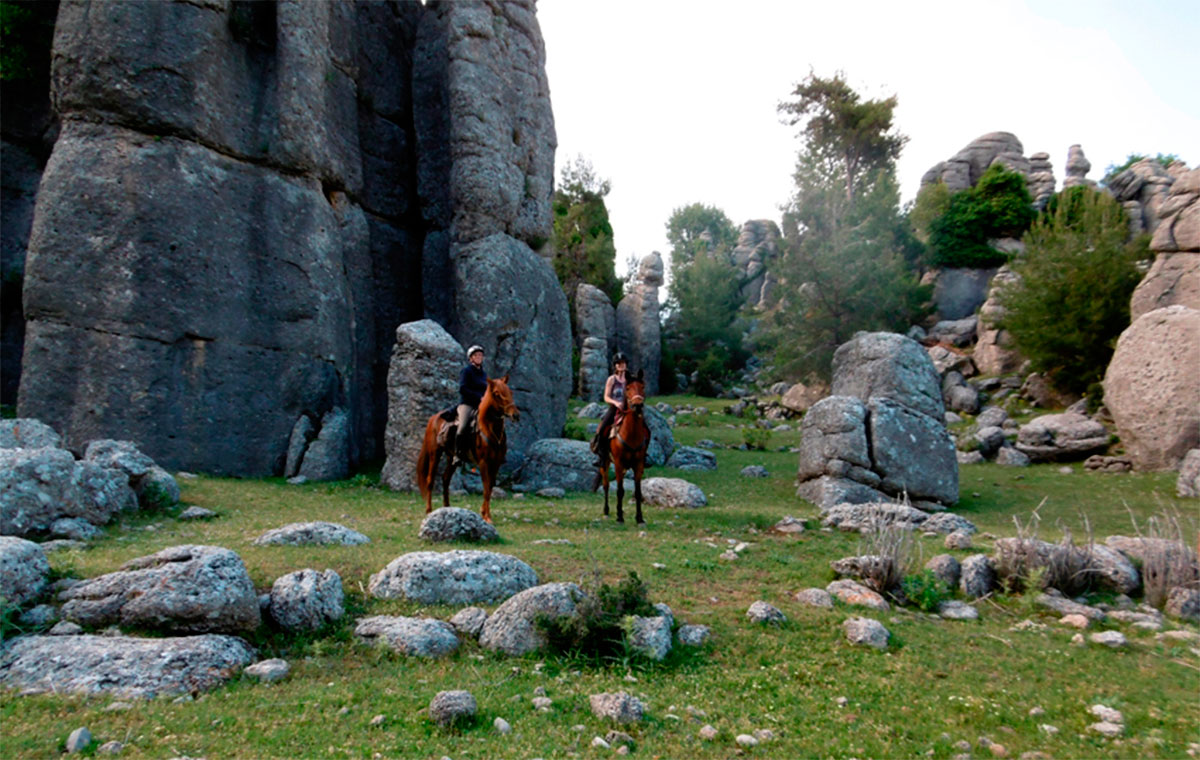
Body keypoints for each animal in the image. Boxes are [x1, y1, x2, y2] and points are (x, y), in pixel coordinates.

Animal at [415, 374, 518, 521]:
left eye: (510, 392)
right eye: (497, 394)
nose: (515, 415)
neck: (488, 429)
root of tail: (433, 418)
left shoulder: (496, 463)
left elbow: (490, 487)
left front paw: (486, 513)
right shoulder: (483, 463)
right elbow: (486, 488)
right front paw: (486, 516)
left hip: (451, 458)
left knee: (445, 479)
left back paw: (447, 507)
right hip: (435, 454)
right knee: (430, 480)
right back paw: (429, 510)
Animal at [590, 367, 648, 521]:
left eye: (642, 387)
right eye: (627, 388)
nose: (637, 405)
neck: (631, 434)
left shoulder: (638, 464)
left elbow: (638, 492)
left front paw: (639, 518)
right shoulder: (618, 462)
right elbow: (620, 491)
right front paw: (620, 517)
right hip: (605, 463)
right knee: (606, 485)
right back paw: (607, 510)